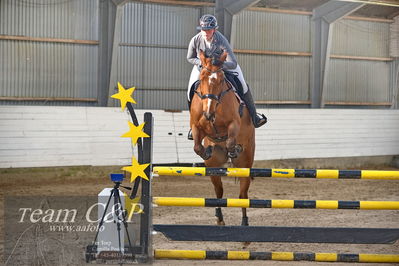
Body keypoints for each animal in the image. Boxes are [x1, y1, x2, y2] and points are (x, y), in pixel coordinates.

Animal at [190, 50, 253, 227]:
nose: (208, 112)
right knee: (219, 191)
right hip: (213, 166)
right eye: (202, 77)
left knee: (243, 194)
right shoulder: (197, 126)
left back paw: (244, 221)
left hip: (245, 162)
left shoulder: (234, 123)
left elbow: (231, 140)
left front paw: (234, 149)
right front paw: (206, 151)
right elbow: (197, 146)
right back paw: (219, 218)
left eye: (221, 79)